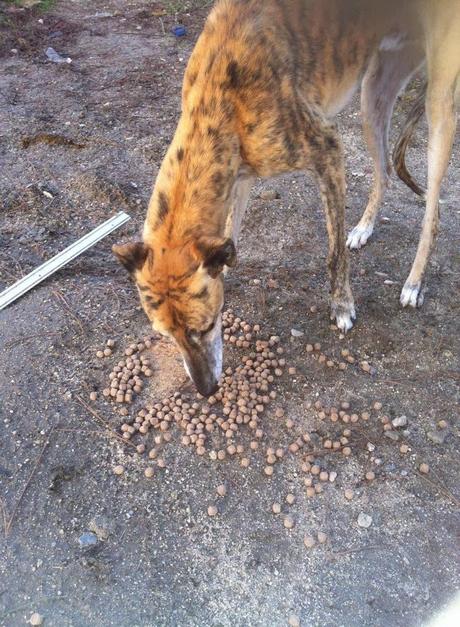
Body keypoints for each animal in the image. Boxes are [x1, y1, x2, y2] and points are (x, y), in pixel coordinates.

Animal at [113, 1, 458, 398]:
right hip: (375, 93)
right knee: (384, 170)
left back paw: (414, 283)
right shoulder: (240, 172)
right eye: (167, 335)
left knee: (433, 209)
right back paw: (364, 228)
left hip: (438, 104)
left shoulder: (327, 149)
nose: (207, 390)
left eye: (207, 325)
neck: (218, 95)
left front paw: (342, 306)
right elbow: (231, 229)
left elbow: (334, 255)